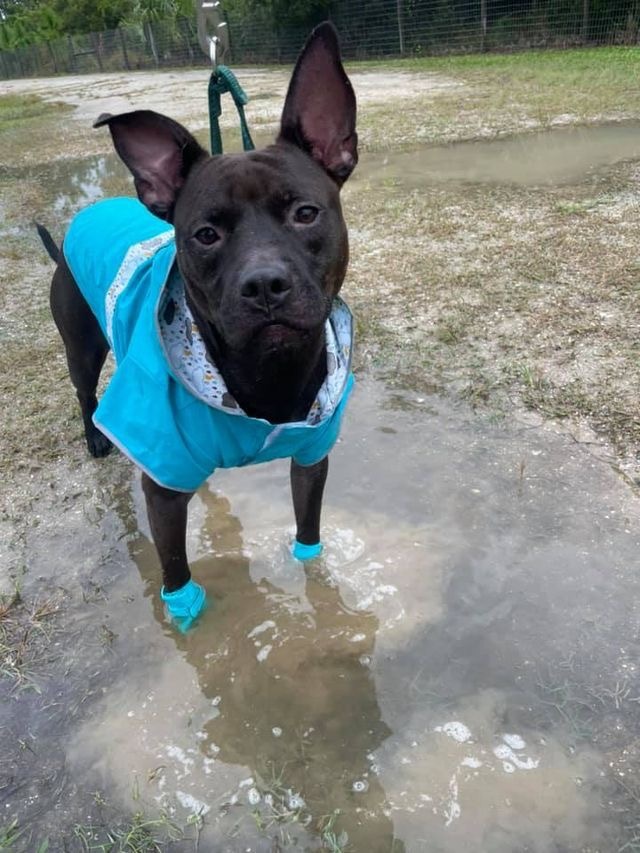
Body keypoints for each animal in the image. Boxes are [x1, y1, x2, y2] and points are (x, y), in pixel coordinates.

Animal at [37, 23, 358, 628]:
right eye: (206, 234)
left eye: (305, 213)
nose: (264, 284)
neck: (265, 376)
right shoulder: (161, 493)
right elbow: (176, 575)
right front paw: (187, 623)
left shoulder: (312, 461)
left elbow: (308, 537)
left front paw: (317, 588)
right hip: (82, 348)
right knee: (85, 393)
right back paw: (94, 437)